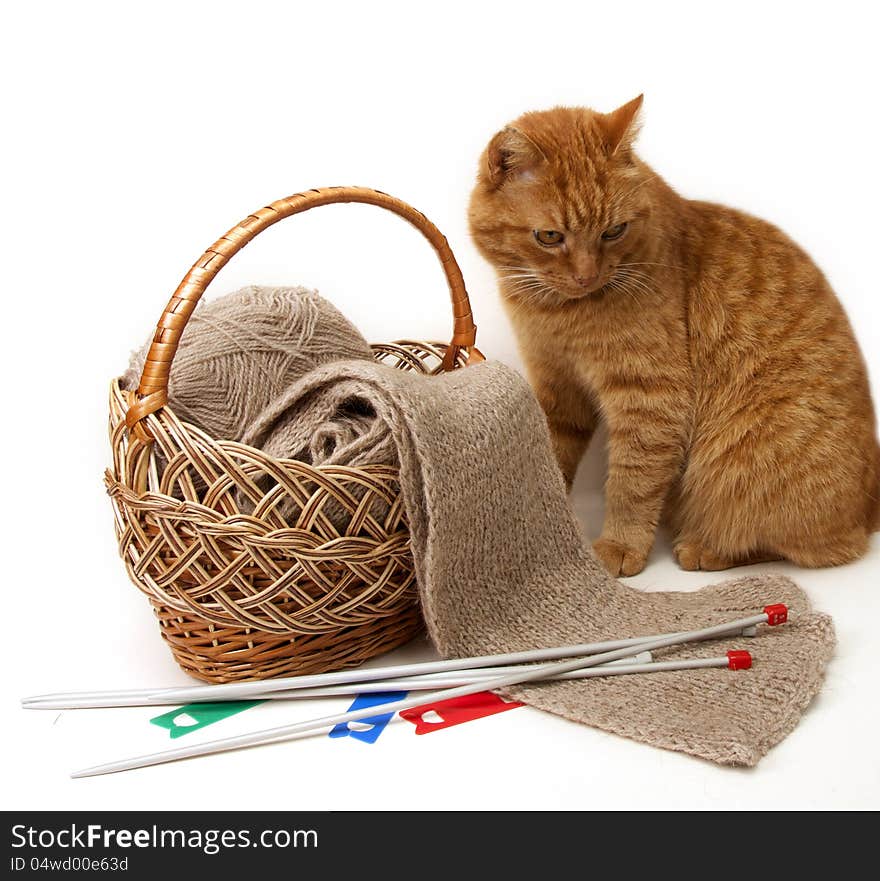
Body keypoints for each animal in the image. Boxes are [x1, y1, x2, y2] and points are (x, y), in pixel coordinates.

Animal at [470, 98, 876, 576]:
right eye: (549, 236)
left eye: (613, 231)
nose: (587, 275)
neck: (558, 314)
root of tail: (871, 505)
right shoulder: (558, 387)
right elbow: (551, 455)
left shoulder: (650, 397)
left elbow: (632, 483)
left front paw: (620, 545)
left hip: (743, 462)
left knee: (804, 545)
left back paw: (706, 548)